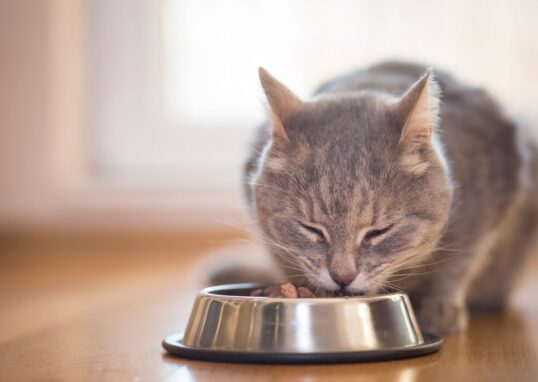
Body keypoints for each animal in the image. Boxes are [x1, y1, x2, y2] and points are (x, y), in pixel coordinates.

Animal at [239, 62, 536, 334]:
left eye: (378, 232)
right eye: (312, 230)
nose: (342, 277)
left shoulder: (489, 202)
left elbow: (461, 261)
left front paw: (441, 307)